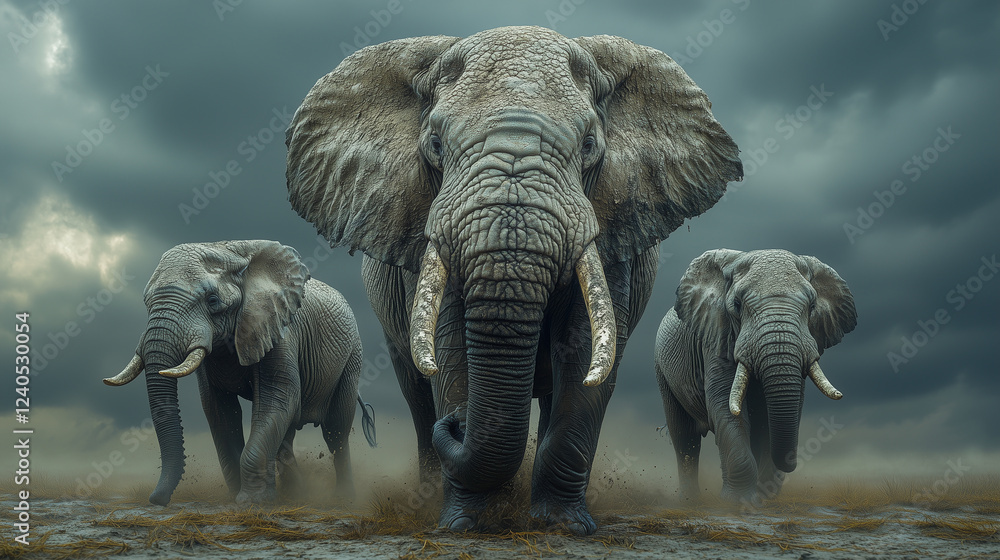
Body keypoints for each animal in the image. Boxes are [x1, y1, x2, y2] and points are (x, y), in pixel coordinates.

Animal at [103, 240, 376, 506]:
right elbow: (220, 411)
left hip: (352, 356)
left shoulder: (279, 328)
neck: (229, 250)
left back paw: (343, 498)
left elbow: (278, 399)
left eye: (212, 300)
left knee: (336, 430)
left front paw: (251, 502)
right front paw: (240, 496)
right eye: (146, 303)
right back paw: (296, 493)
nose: (157, 500)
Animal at [284, 26, 742, 534]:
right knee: (417, 397)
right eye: (436, 144)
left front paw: (562, 527)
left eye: (589, 144)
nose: (458, 424)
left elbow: (584, 351)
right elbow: (450, 346)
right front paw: (468, 524)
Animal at [655, 249, 857, 506]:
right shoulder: (717, 339)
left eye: (812, 306)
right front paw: (736, 503)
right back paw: (690, 502)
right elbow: (724, 404)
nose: (791, 462)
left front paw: (762, 499)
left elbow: (773, 418)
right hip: (662, 371)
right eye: (737, 305)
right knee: (684, 438)